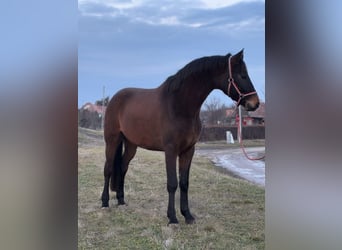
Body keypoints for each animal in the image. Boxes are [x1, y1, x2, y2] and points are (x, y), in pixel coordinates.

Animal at [101, 49, 260, 224]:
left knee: (123, 167)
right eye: (242, 75)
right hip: (112, 140)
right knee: (108, 169)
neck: (179, 105)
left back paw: (121, 200)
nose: (255, 103)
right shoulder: (171, 150)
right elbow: (172, 183)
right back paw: (105, 202)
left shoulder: (188, 150)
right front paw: (172, 217)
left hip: (131, 144)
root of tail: (115, 98)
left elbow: (184, 183)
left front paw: (187, 215)